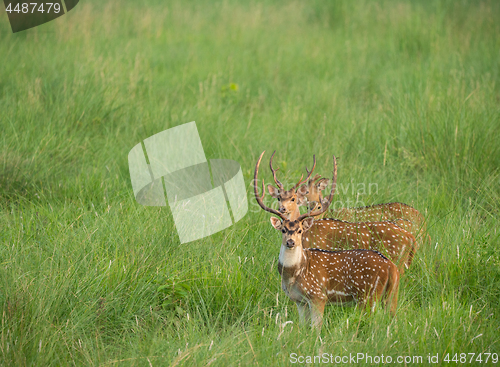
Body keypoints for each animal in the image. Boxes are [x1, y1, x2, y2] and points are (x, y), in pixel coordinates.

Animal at [254, 152, 398, 330]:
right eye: (283, 229)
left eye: (300, 230)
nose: (290, 242)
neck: (293, 275)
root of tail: (391, 267)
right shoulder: (299, 300)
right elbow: (303, 327)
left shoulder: (318, 296)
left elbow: (316, 328)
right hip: (391, 296)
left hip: (368, 295)